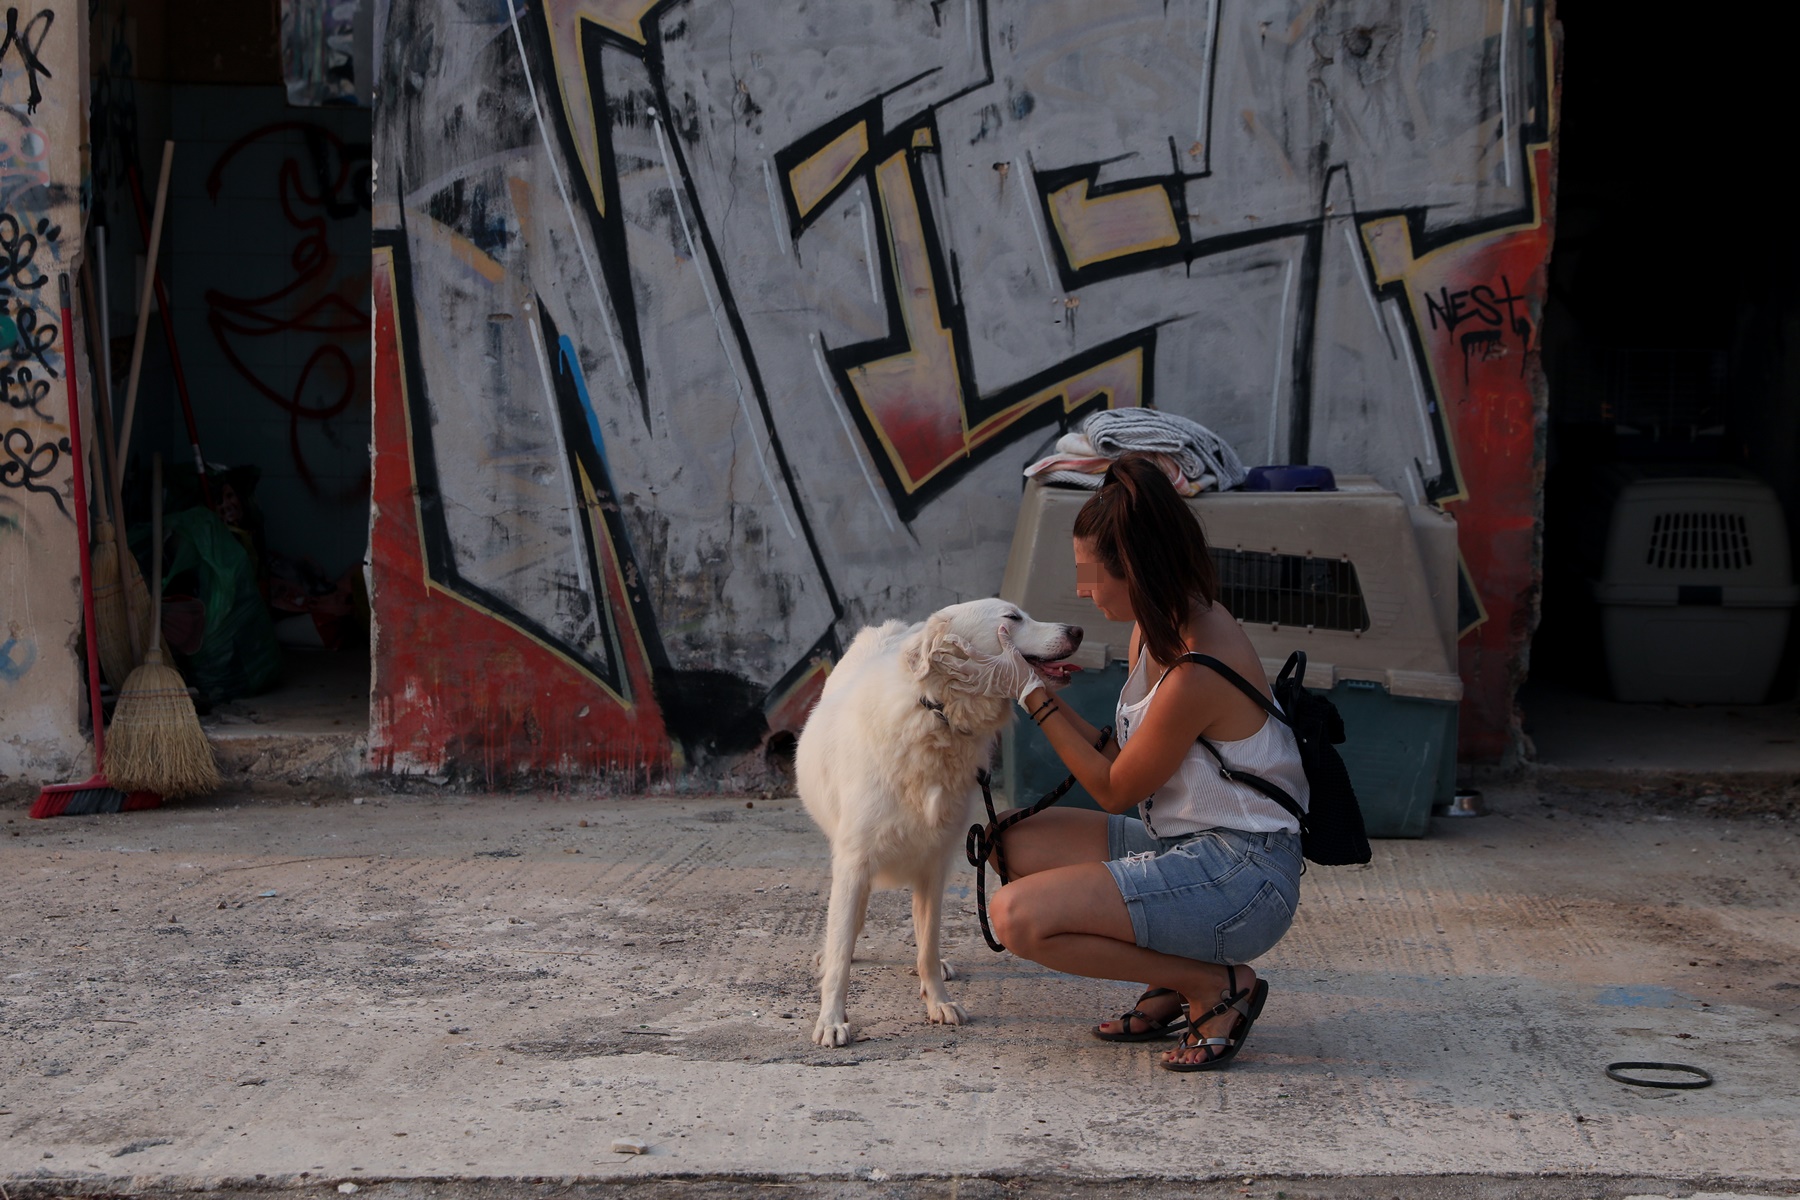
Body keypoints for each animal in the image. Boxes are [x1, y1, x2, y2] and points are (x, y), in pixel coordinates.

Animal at [802, 597, 1080, 1043]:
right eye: (1012, 618)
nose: (1078, 631)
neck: (936, 715)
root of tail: (888, 628)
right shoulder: (853, 860)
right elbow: (843, 948)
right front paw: (831, 1018)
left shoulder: (935, 864)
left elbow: (928, 944)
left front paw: (938, 1000)